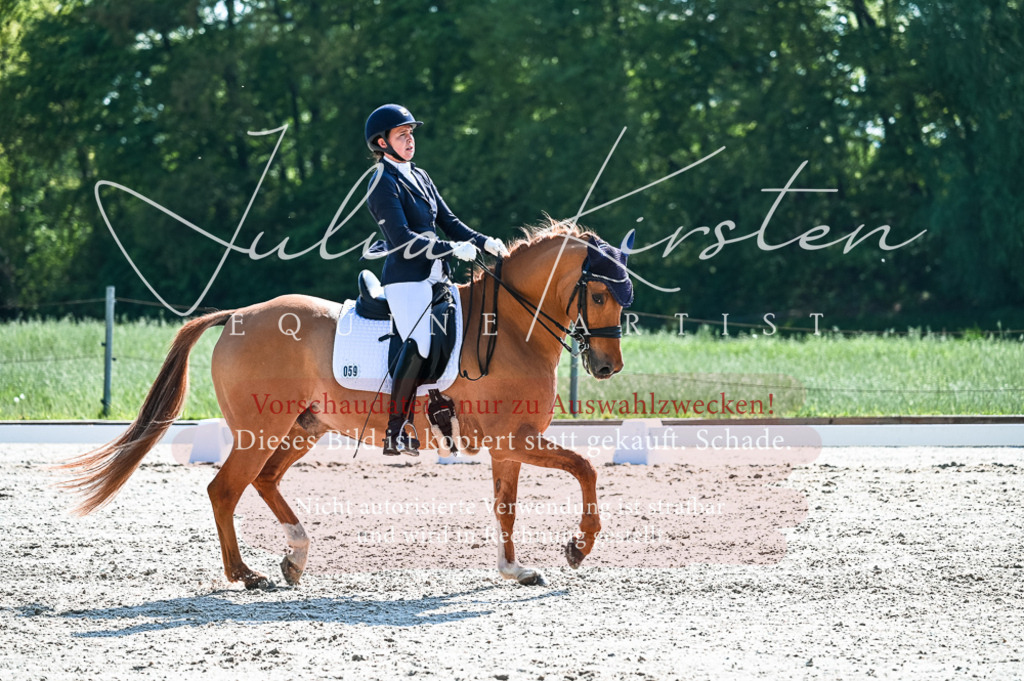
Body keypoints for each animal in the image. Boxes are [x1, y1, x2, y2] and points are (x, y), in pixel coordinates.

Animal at [59, 222, 627, 588]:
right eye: (599, 295)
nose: (607, 367)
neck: (508, 327)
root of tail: (238, 315)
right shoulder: (515, 438)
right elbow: (586, 467)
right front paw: (579, 547)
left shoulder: (508, 446)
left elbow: (505, 507)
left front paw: (516, 570)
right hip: (260, 429)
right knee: (225, 489)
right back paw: (248, 574)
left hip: (304, 426)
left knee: (265, 480)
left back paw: (294, 557)